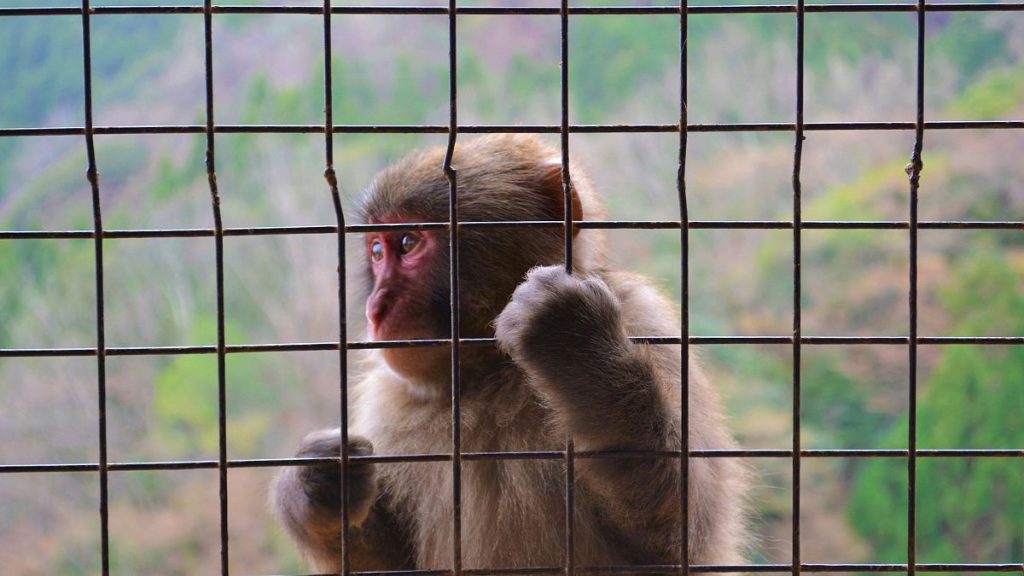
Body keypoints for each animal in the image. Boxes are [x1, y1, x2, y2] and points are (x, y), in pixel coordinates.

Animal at [272, 133, 749, 569]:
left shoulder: (643, 320)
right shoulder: (389, 400)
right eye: (376, 251)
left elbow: (681, 535)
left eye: (407, 244)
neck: (487, 376)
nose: (376, 308)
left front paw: (575, 343)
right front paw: (314, 489)